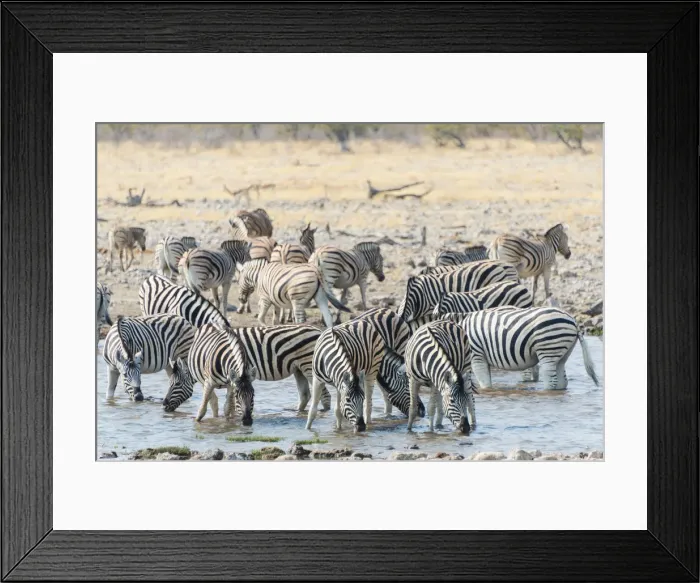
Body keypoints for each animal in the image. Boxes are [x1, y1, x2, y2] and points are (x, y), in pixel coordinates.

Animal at [164, 324, 332, 414]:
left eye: (176, 384)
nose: (164, 406)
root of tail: (318, 330)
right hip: (298, 368)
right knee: (305, 395)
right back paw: (297, 413)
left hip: (309, 366)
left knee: (324, 396)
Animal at [455, 306, 599, 390]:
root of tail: (573, 321)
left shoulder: (476, 355)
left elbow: (484, 384)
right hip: (563, 353)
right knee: (562, 381)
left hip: (548, 348)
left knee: (550, 381)